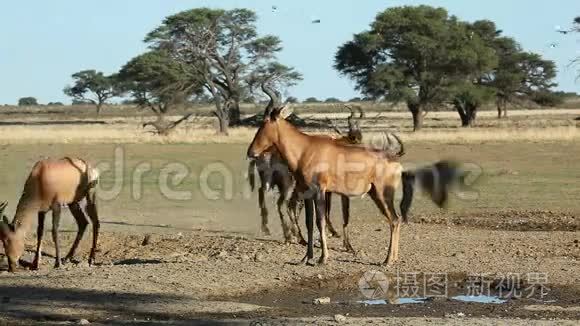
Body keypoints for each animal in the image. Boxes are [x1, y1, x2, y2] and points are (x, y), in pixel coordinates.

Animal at [249, 105, 472, 266]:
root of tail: (395, 160)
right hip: (375, 194)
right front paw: (306, 258)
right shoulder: (307, 193)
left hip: (383, 194)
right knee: (396, 220)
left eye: (265, 124)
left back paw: (387, 261)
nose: (251, 152)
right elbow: (310, 223)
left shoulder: (320, 191)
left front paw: (323, 259)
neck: (306, 148)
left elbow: (321, 222)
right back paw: (393, 259)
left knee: (394, 220)